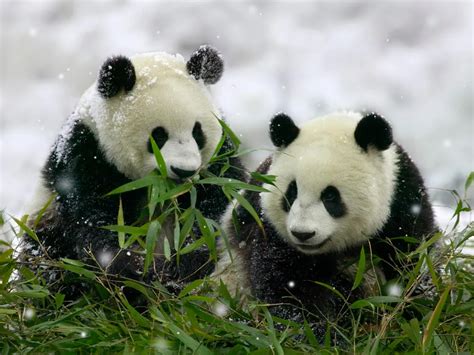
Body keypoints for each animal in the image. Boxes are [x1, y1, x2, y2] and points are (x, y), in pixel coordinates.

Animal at [19, 44, 244, 294]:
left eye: (197, 132)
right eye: (158, 135)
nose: (183, 171)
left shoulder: (218, 163)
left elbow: (214, 211)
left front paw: (182, 267)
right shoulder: (85, 155)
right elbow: (96, 223)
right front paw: (137, 274)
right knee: (47, 263)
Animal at [215, 111, 436, 340]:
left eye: (330, 196)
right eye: (291, 192)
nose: (302, 234)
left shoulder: (403, 202)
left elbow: (411, 263)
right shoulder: (267, 225)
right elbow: (287, 285)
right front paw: (320, 333)